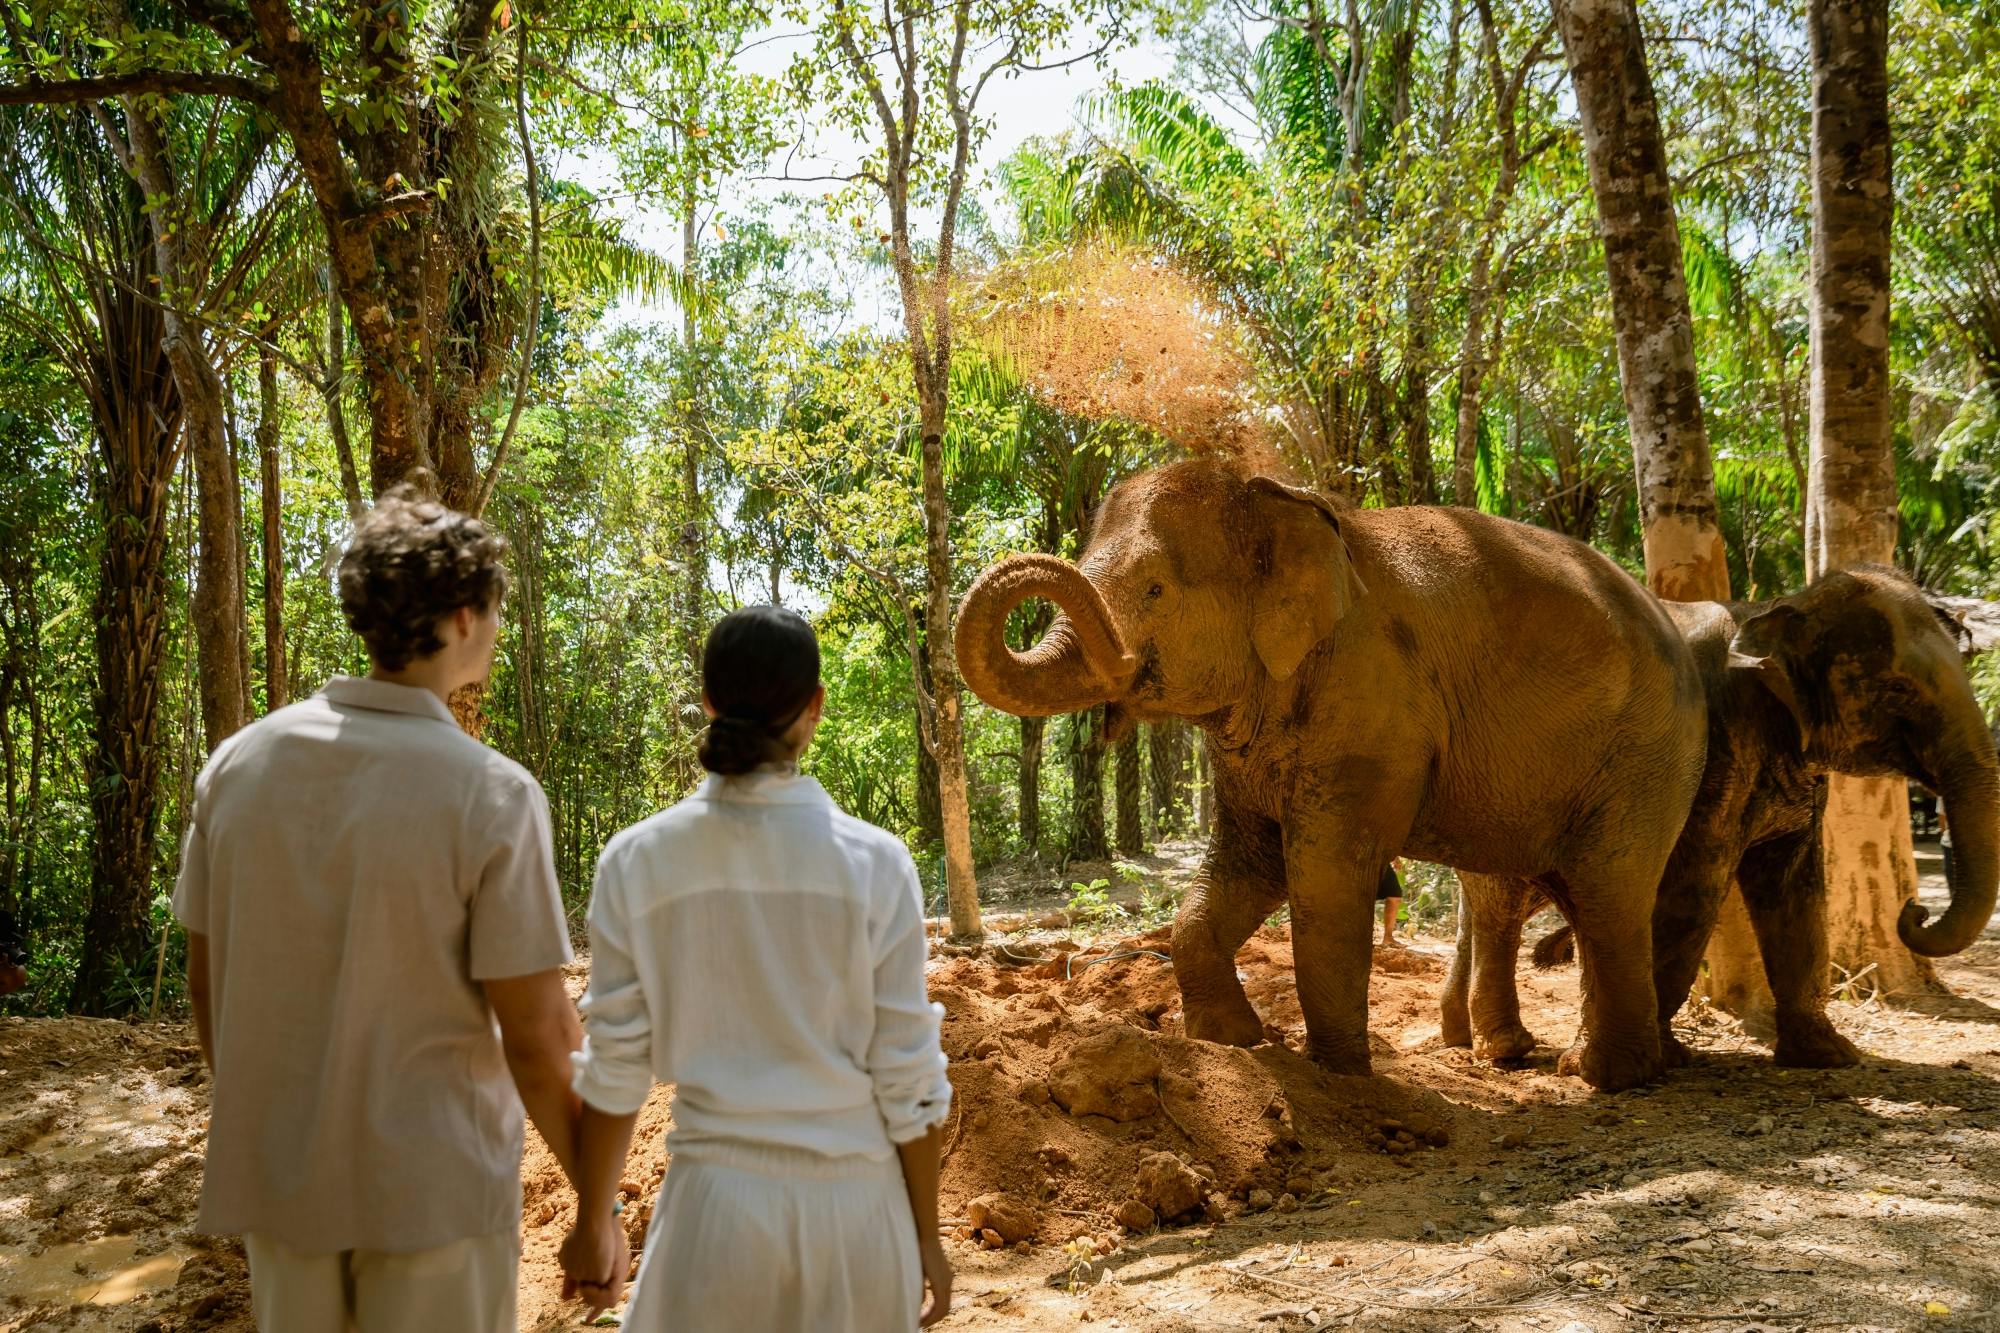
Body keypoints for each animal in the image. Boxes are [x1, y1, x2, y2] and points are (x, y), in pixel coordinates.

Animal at [954, 454, 1708, 1091]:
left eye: (1155, 588)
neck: (1281, 500)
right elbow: (1246, 863)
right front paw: (1234, 1042)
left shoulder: (1372, 703)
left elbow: (1324, 876)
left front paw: (1337, 1074)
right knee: (1571, 895)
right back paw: (1599, 1064)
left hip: (1646, 755)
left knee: (1608, 891)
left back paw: (1606, 1075)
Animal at [1442, 565, 2000, 1070]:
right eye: (1898, 689)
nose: (1915, 909)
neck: (1774, 608)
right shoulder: (1710, 751)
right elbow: (1691, 888)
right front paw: (1665, 1057)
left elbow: (1796, 895)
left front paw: (1830, 1056)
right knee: (1503, 905)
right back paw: (1506, 1050)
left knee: (1485, 906)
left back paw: (1463, 1038)